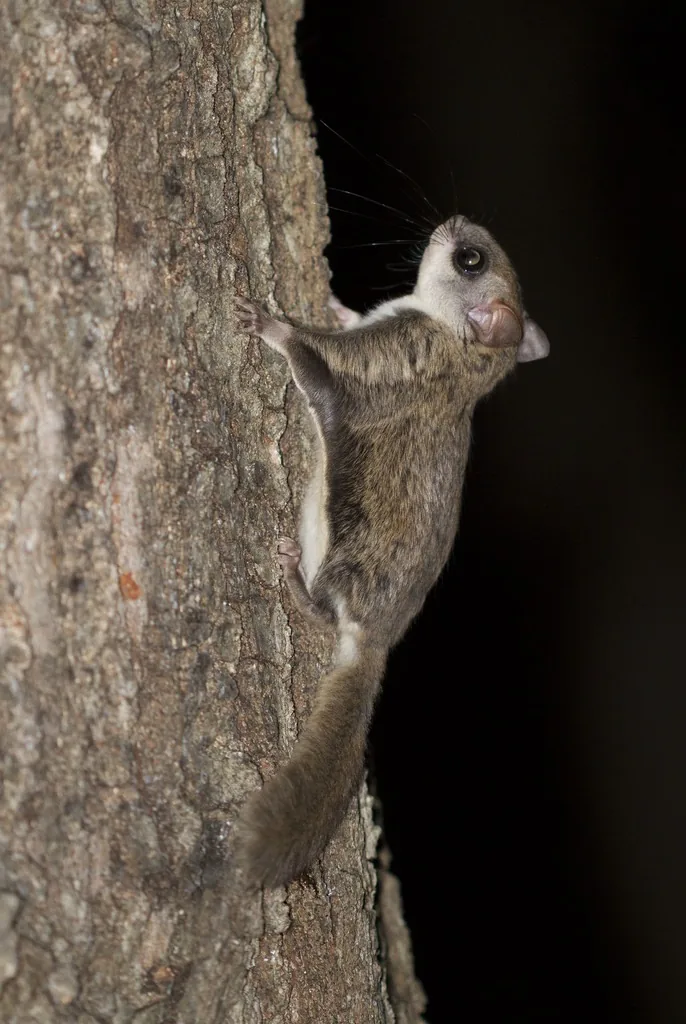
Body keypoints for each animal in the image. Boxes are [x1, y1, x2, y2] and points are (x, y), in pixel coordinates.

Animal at [235, 215, 549, 887]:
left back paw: (294, 580)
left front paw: (269, 324)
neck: (459, 347)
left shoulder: (388, 359)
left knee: (324, 610)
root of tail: (375, 643)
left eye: (470, 259)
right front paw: (333, 301)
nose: (455, 221)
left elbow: (312, 361)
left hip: (346, 563)